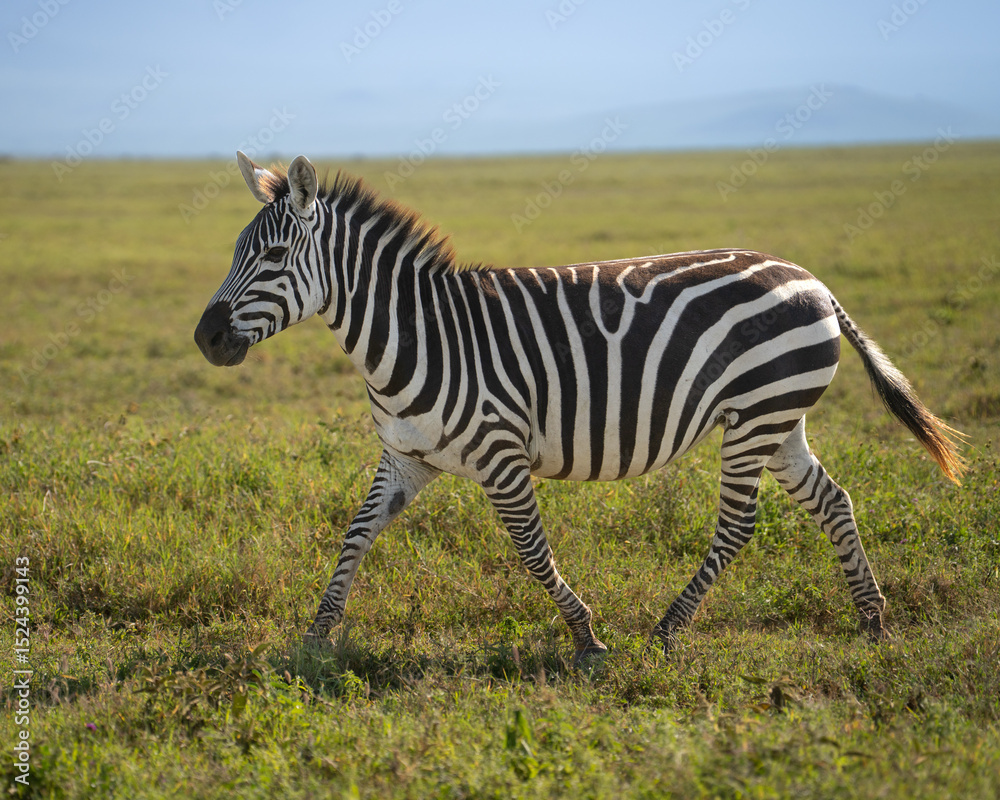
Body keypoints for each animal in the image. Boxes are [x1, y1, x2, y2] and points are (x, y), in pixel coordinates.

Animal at [194, 152, 964, 664]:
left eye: (271, 256)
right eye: (234, 250)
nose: (205, 338)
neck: (416, 337)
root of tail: (813, 280)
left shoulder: (501, 455)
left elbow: (532, 550)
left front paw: (587, 635)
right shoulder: (406, 456)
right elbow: (355, 534)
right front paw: (314, 637)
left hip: (754, 415)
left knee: (739, 524)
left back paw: (668, 629)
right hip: (780, 419)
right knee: (832, 501)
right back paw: (872, 619)